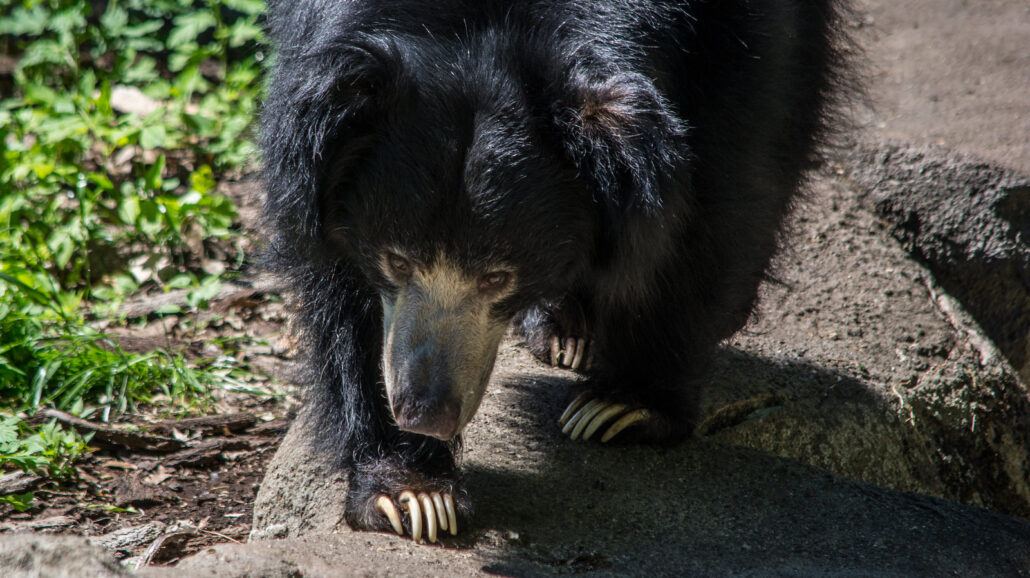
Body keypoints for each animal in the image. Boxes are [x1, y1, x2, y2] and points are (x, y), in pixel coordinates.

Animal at [261, 0, 848, 539]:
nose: (425, 413)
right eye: (397, 260)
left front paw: (622, 406)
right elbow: (339, 282)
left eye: (498, 276)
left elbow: (714, 207)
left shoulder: (740, 42)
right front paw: (411, 491)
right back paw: (566, 331)